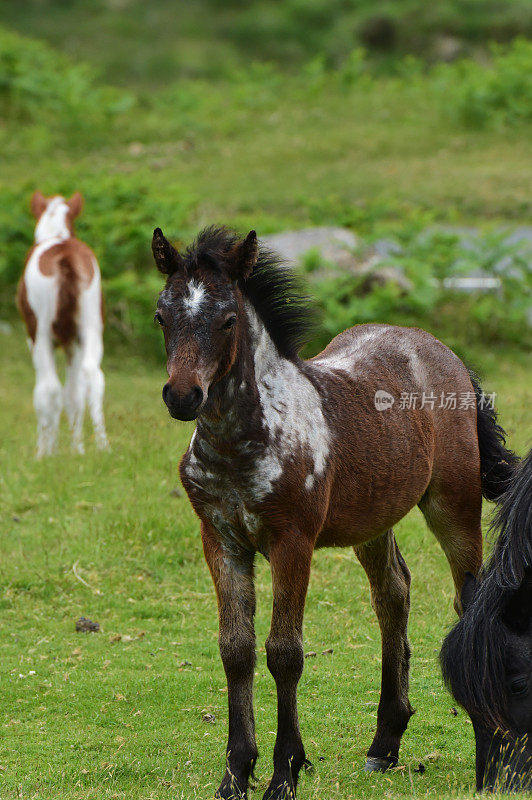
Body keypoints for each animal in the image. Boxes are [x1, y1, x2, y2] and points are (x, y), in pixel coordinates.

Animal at [16, 191, 108, 460]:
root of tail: (64, 255)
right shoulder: (72, 343)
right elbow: (74, 394)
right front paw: (78, 449)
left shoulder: (34, 338)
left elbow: (53, 392)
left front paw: (49, 450)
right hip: (91, 325)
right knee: (92, 376)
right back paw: (103, 446)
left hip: (41, 332)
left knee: (48, 387)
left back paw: (44, 453)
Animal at [152, 225, 516, 800]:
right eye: (162, 316)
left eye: (228, 319)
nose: (183, 396)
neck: (241, 441)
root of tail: (438, 348)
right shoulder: (220, 540)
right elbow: (236, 649)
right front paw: (236, 774)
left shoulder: (292, 541)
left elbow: (284, 652)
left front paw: (285, 772)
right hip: (374, 518)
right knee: (392, 595)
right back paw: (384, 744)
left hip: (453, 504)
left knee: (468, 601)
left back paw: (492, 749)